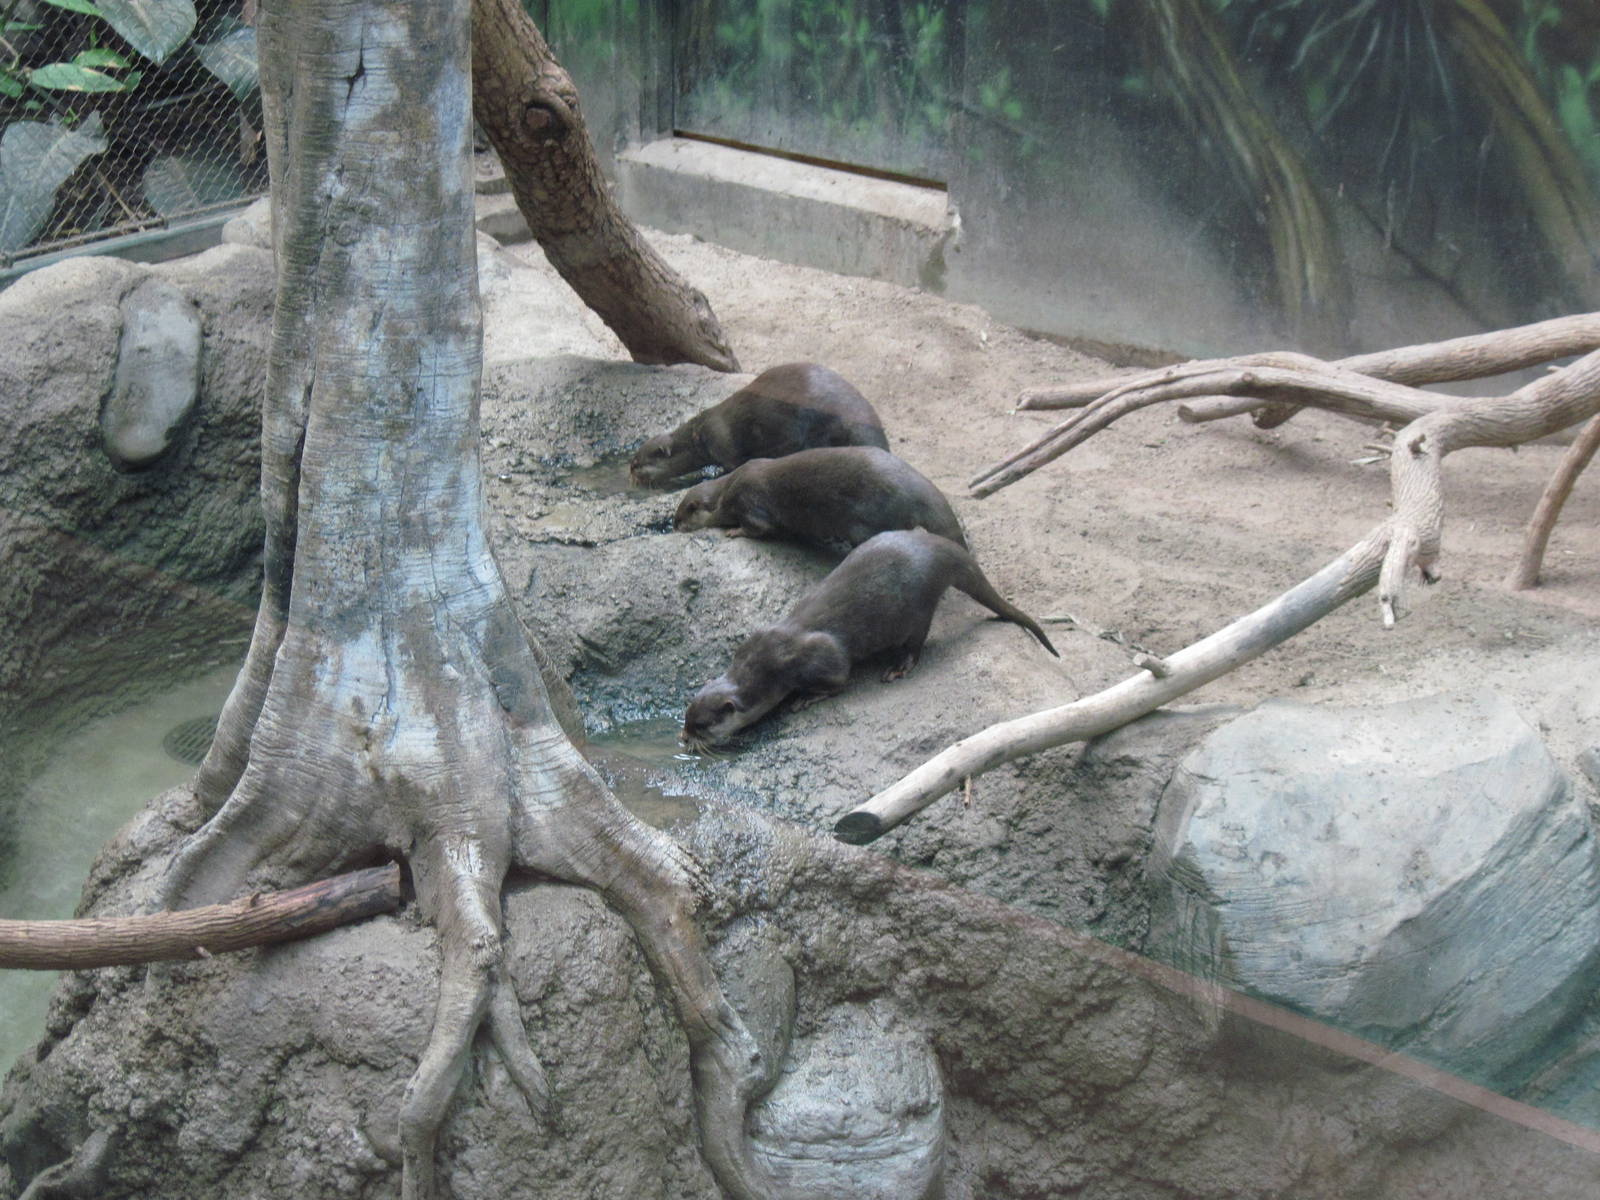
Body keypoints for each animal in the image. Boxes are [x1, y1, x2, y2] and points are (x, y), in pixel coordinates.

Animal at [673, 446, 967, 554]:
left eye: (680, 517)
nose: (675, 527)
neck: (726, 490)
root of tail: (913, 485)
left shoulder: (748, 502)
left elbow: (758, 527)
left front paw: (734, 531)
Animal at [682, 529, 1059, 748]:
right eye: (686, 717)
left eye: (701, 726)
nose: (683, 737)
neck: (764, 665)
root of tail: (941, 548)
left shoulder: (819, 657)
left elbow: (838, 679)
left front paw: (805, 698)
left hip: (917, 606)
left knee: (917, 641)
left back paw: (898, 666)